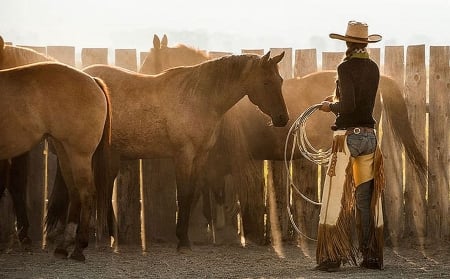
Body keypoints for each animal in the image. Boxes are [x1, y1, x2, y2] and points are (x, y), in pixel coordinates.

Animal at [0, 62, 112, 262]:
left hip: (79, 154)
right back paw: (64, 245)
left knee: (86, 193)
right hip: (64, 150)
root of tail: (93, 81)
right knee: (74, 192)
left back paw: (78, 248)